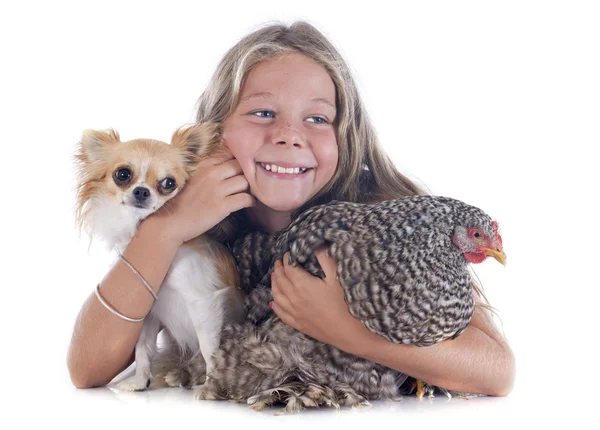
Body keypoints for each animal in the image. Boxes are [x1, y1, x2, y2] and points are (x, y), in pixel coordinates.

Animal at [74, 122, 245, 394]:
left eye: (168, 183)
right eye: (122, 174)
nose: (142, 191)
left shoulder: (203, 303)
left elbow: (209, 349)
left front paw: (211, 386)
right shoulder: (149, 314)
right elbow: (143, 349)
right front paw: (139, 383)